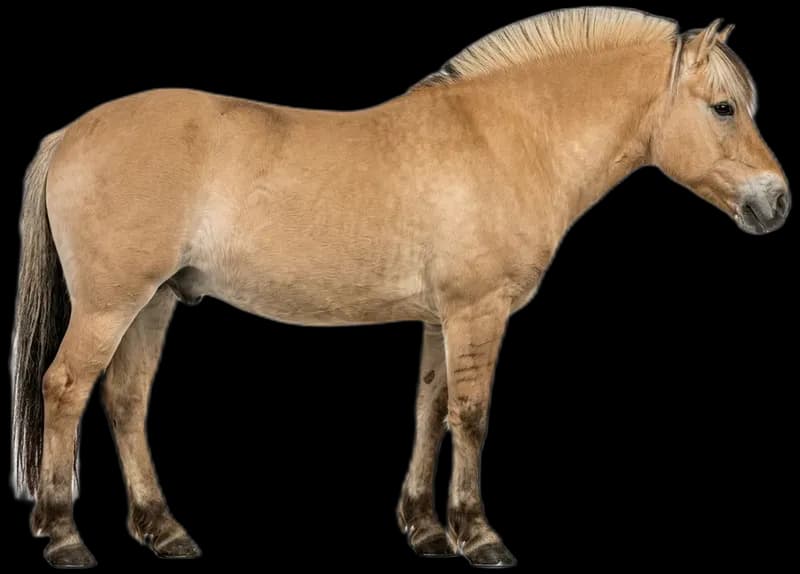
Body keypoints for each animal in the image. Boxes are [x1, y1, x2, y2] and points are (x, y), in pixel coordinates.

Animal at [10, 6, 790, 569]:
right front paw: (479, 537)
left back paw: (161, 530)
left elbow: (429, 410)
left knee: (124, 400)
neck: (507, 138)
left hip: (156, 302)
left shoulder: (441, 319)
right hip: (111, 305)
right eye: (724, 108)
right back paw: (64, 536)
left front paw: (426, 530)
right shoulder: (478, 312)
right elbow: (470, 417)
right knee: (66, 389)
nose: (777, 202)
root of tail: (71, 133)